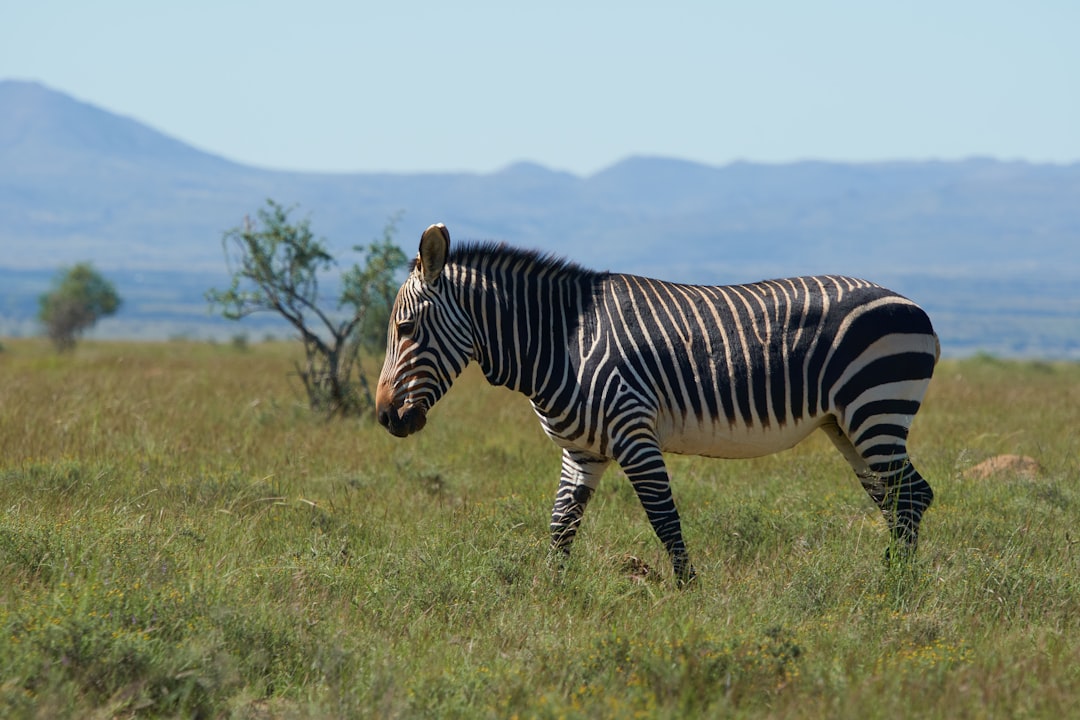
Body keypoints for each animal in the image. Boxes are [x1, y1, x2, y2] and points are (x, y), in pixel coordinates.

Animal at [378, 225, 937, 587]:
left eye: (405, 329)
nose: (385, 417)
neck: (563, 341)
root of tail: (917, 308)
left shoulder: (633, 431)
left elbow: (664, 519)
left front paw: (691, 597)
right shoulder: (582, 451)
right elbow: (561, 527)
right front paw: (550, 597)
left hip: (876, 408)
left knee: (910, 496)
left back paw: (894, 590)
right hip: (845, 424)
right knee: (895, 498)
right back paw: (892, 578)